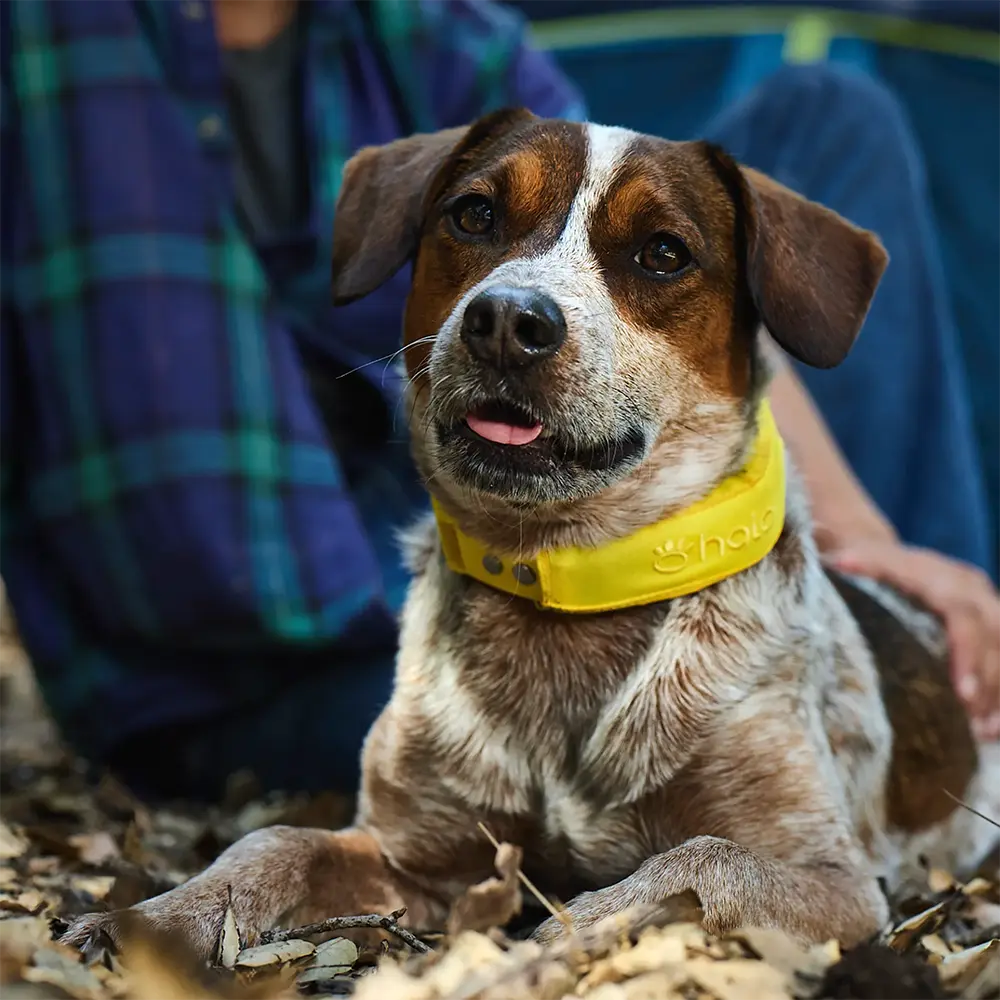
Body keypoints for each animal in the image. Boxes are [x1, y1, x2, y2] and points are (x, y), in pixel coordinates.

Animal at [60, 107, 1000, 952]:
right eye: (474, 214)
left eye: (664, 252)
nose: (510, 319)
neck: (566, 582)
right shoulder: (413, 853)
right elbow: (273, 843)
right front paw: (160, 916)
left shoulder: (835, 880)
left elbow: (699, 859)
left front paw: (570, 930)